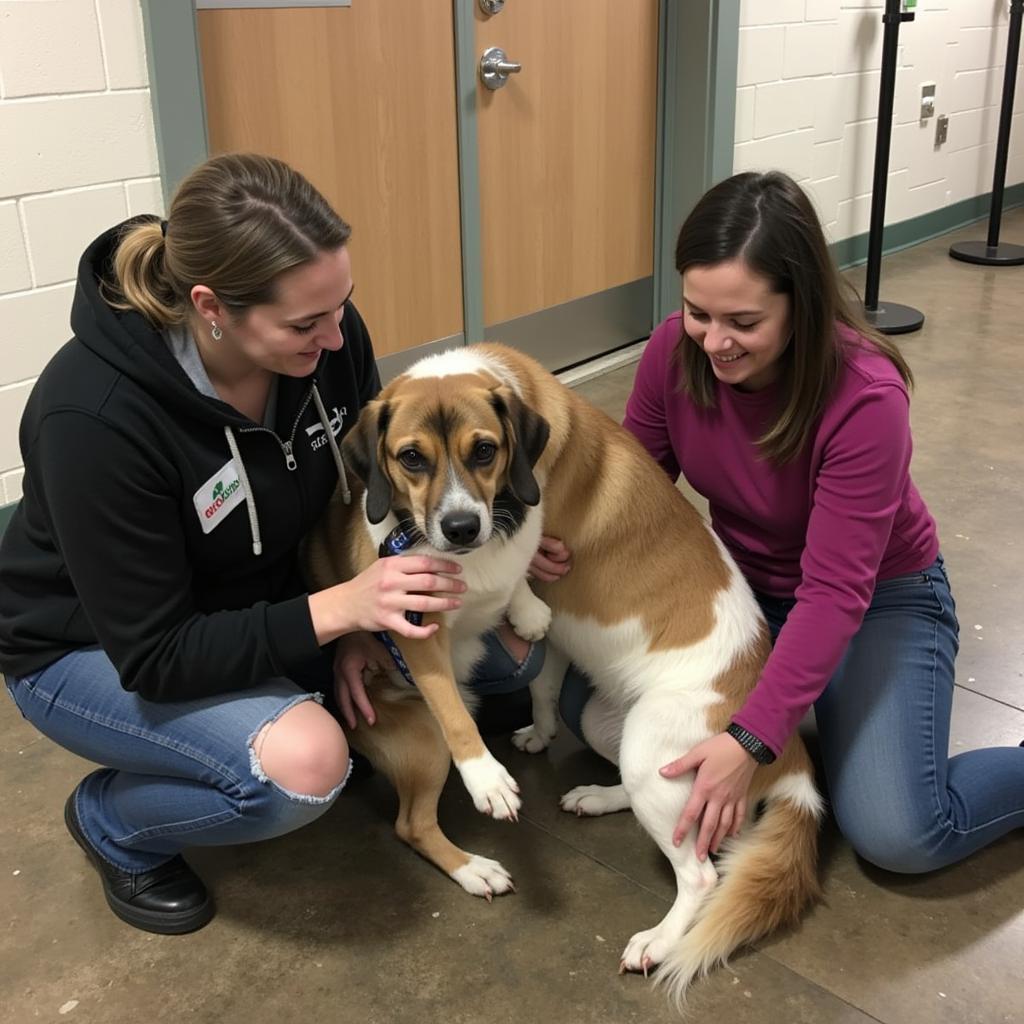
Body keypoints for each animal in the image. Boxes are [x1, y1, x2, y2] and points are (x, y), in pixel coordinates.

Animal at [305, 344, 823, 999]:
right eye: (411, 458)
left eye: (485, 450)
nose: (459, 528)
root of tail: (790, 752)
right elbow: (543, 680)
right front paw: (536, 728)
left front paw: (488, 777)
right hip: (622, 742)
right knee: (681, 820)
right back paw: (596, 799)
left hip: (652, 743)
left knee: (701, 874)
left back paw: (657, 940)